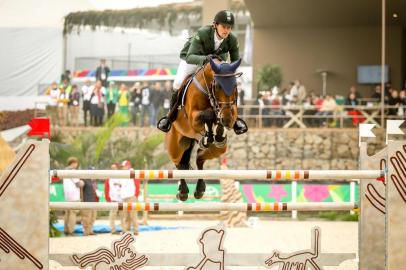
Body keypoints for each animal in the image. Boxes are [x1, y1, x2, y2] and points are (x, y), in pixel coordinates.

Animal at [166, 57, 243, 200]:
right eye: (218, 86)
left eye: (235, 86)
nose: (227, 119)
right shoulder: (193, 117)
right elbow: (208, 114)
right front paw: (211, 129)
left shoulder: (231, 111)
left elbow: (218, 119)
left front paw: (218, 132)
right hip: (175, 145)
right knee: (180, 164)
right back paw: (183, 192)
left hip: (218, 149)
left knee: (199, 158)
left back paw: (199, 189)